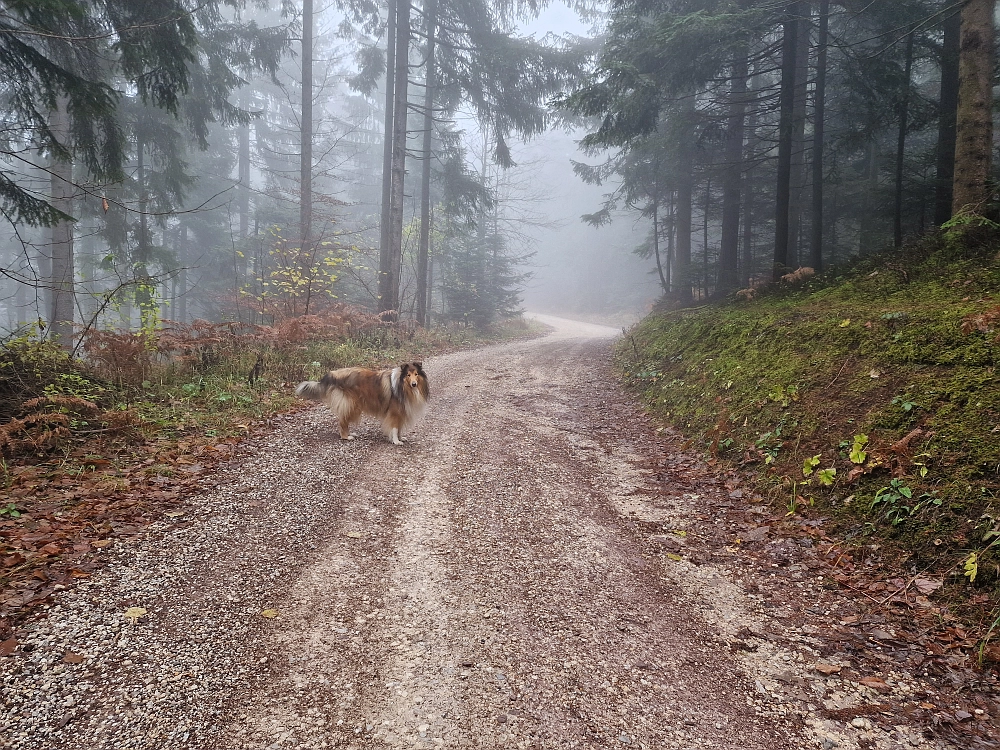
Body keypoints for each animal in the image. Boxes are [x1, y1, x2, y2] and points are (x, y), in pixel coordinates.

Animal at [292, 362, 426, 444]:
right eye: (408, 375)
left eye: (416, 374)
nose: (414, 384)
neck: (402, 385)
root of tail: (333, 374)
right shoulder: (394, 412)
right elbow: (394, 427)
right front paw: (396, 441)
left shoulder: (402, 411)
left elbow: (399, 427)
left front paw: (400, 437)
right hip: (351, 404)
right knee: (342, 421)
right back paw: (346, 437)